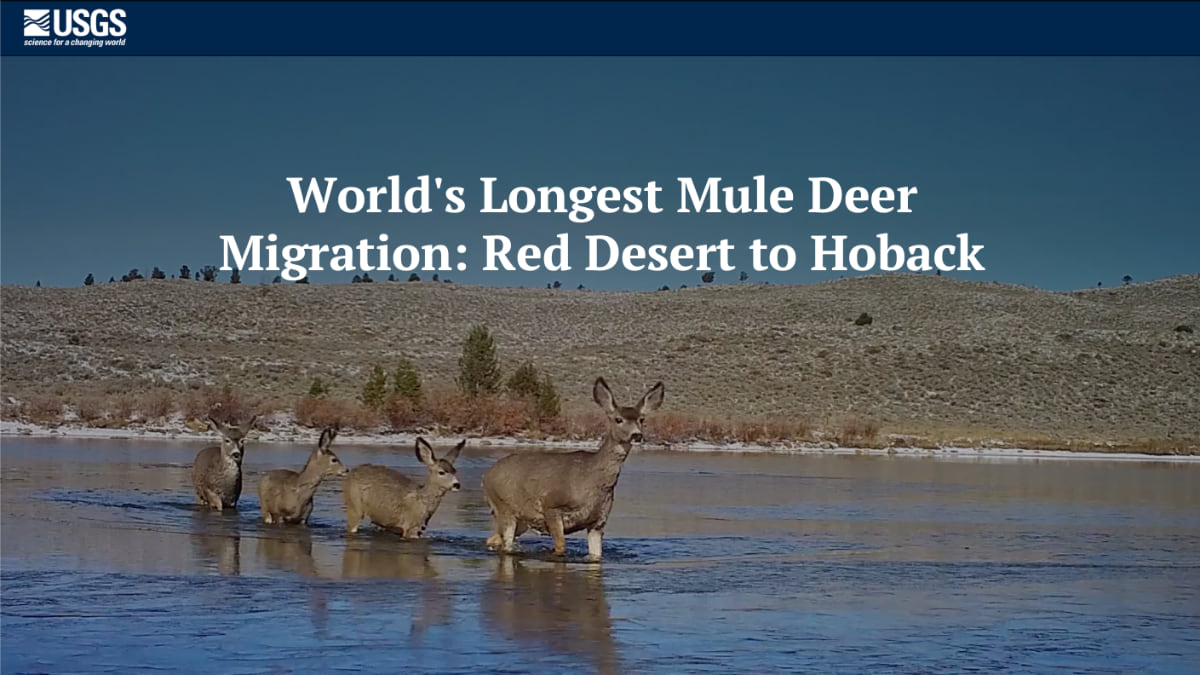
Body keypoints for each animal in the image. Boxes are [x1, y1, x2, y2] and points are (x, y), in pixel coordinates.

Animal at [483, 377, 664, 561]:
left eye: (641, 419)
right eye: (618, 419)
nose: (637, 435)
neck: (592, 480)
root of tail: (487, 475)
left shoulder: (598, 521)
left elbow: (596, 556)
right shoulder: (551, 505)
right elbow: (560, 548)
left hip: (522, 520)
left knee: (491, 539)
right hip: (504, 507)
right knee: (505, 544)